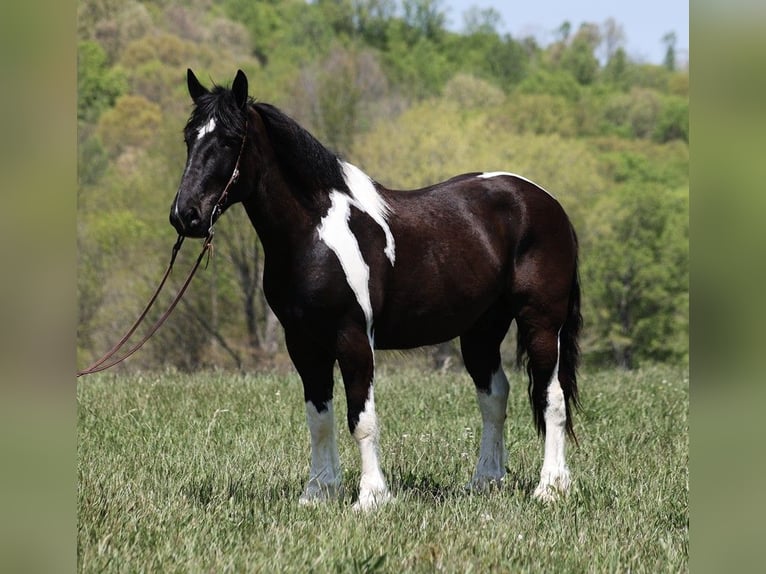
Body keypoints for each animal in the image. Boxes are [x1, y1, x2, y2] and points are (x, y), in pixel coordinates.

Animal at [171, 68, 584, 512]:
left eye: (230, 140)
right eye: (189, 137)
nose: (185, 216)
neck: (315, 234)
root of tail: (548, 203)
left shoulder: (352, 337)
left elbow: (361, 419)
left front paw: (370, 497)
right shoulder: (303, 343)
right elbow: (319, 419)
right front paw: (317, 492)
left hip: (541, 323)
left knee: (552, 397)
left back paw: (551, 487)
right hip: (481, 330)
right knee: (494, 397)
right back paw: (484, 482)